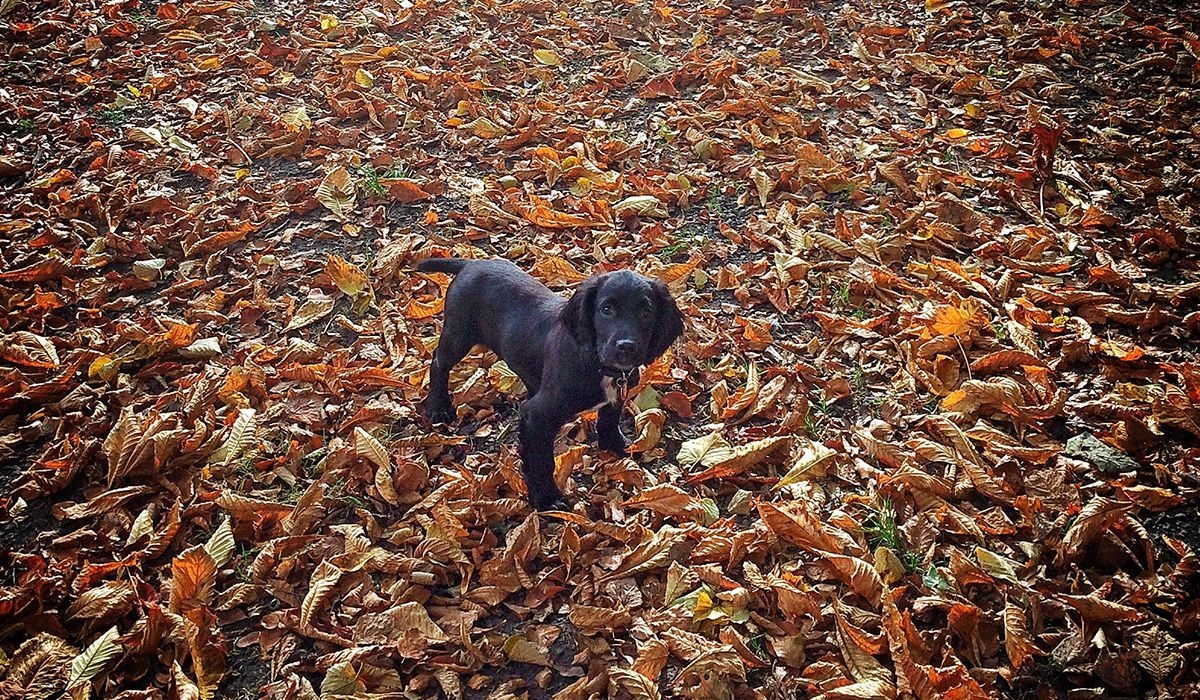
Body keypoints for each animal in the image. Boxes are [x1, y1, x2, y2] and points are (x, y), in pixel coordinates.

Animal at [420, 256, 686, 509]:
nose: (626, 347)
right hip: (458, 333)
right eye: (606, 309)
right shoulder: (537, 416)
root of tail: (471, 264)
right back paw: (439, 407)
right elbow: (540, 460)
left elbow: (610, 418)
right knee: (438, 363)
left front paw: (615, 445)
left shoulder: (618, 392)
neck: (598, 365)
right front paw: (546, 498)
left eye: (646, 313)